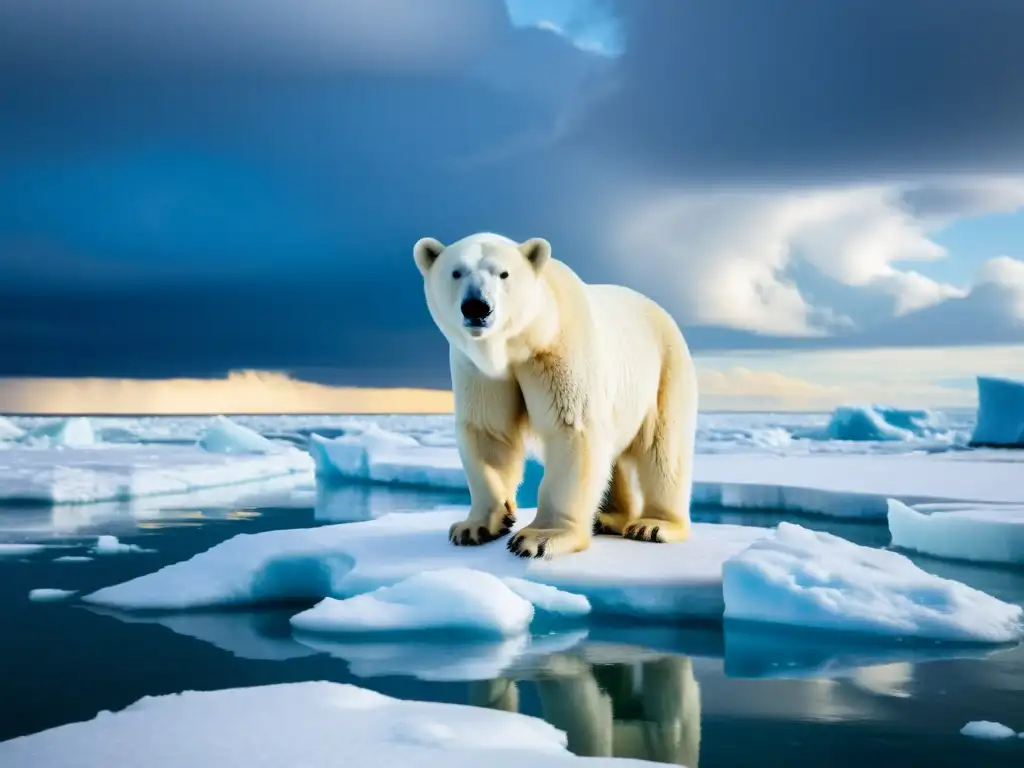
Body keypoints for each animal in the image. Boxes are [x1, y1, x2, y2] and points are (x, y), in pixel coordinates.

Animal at [411, 231, 700, 557]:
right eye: (456, 272)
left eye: (503, 273)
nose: (477, 307)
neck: (522, 342)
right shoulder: (478, 369)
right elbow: (489, 431)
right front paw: (475, 527)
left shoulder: (559, 350)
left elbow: (571, 428)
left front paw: (539, 537)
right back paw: (608, 518)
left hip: (665, 368)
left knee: (663, 448)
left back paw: (653, 525)